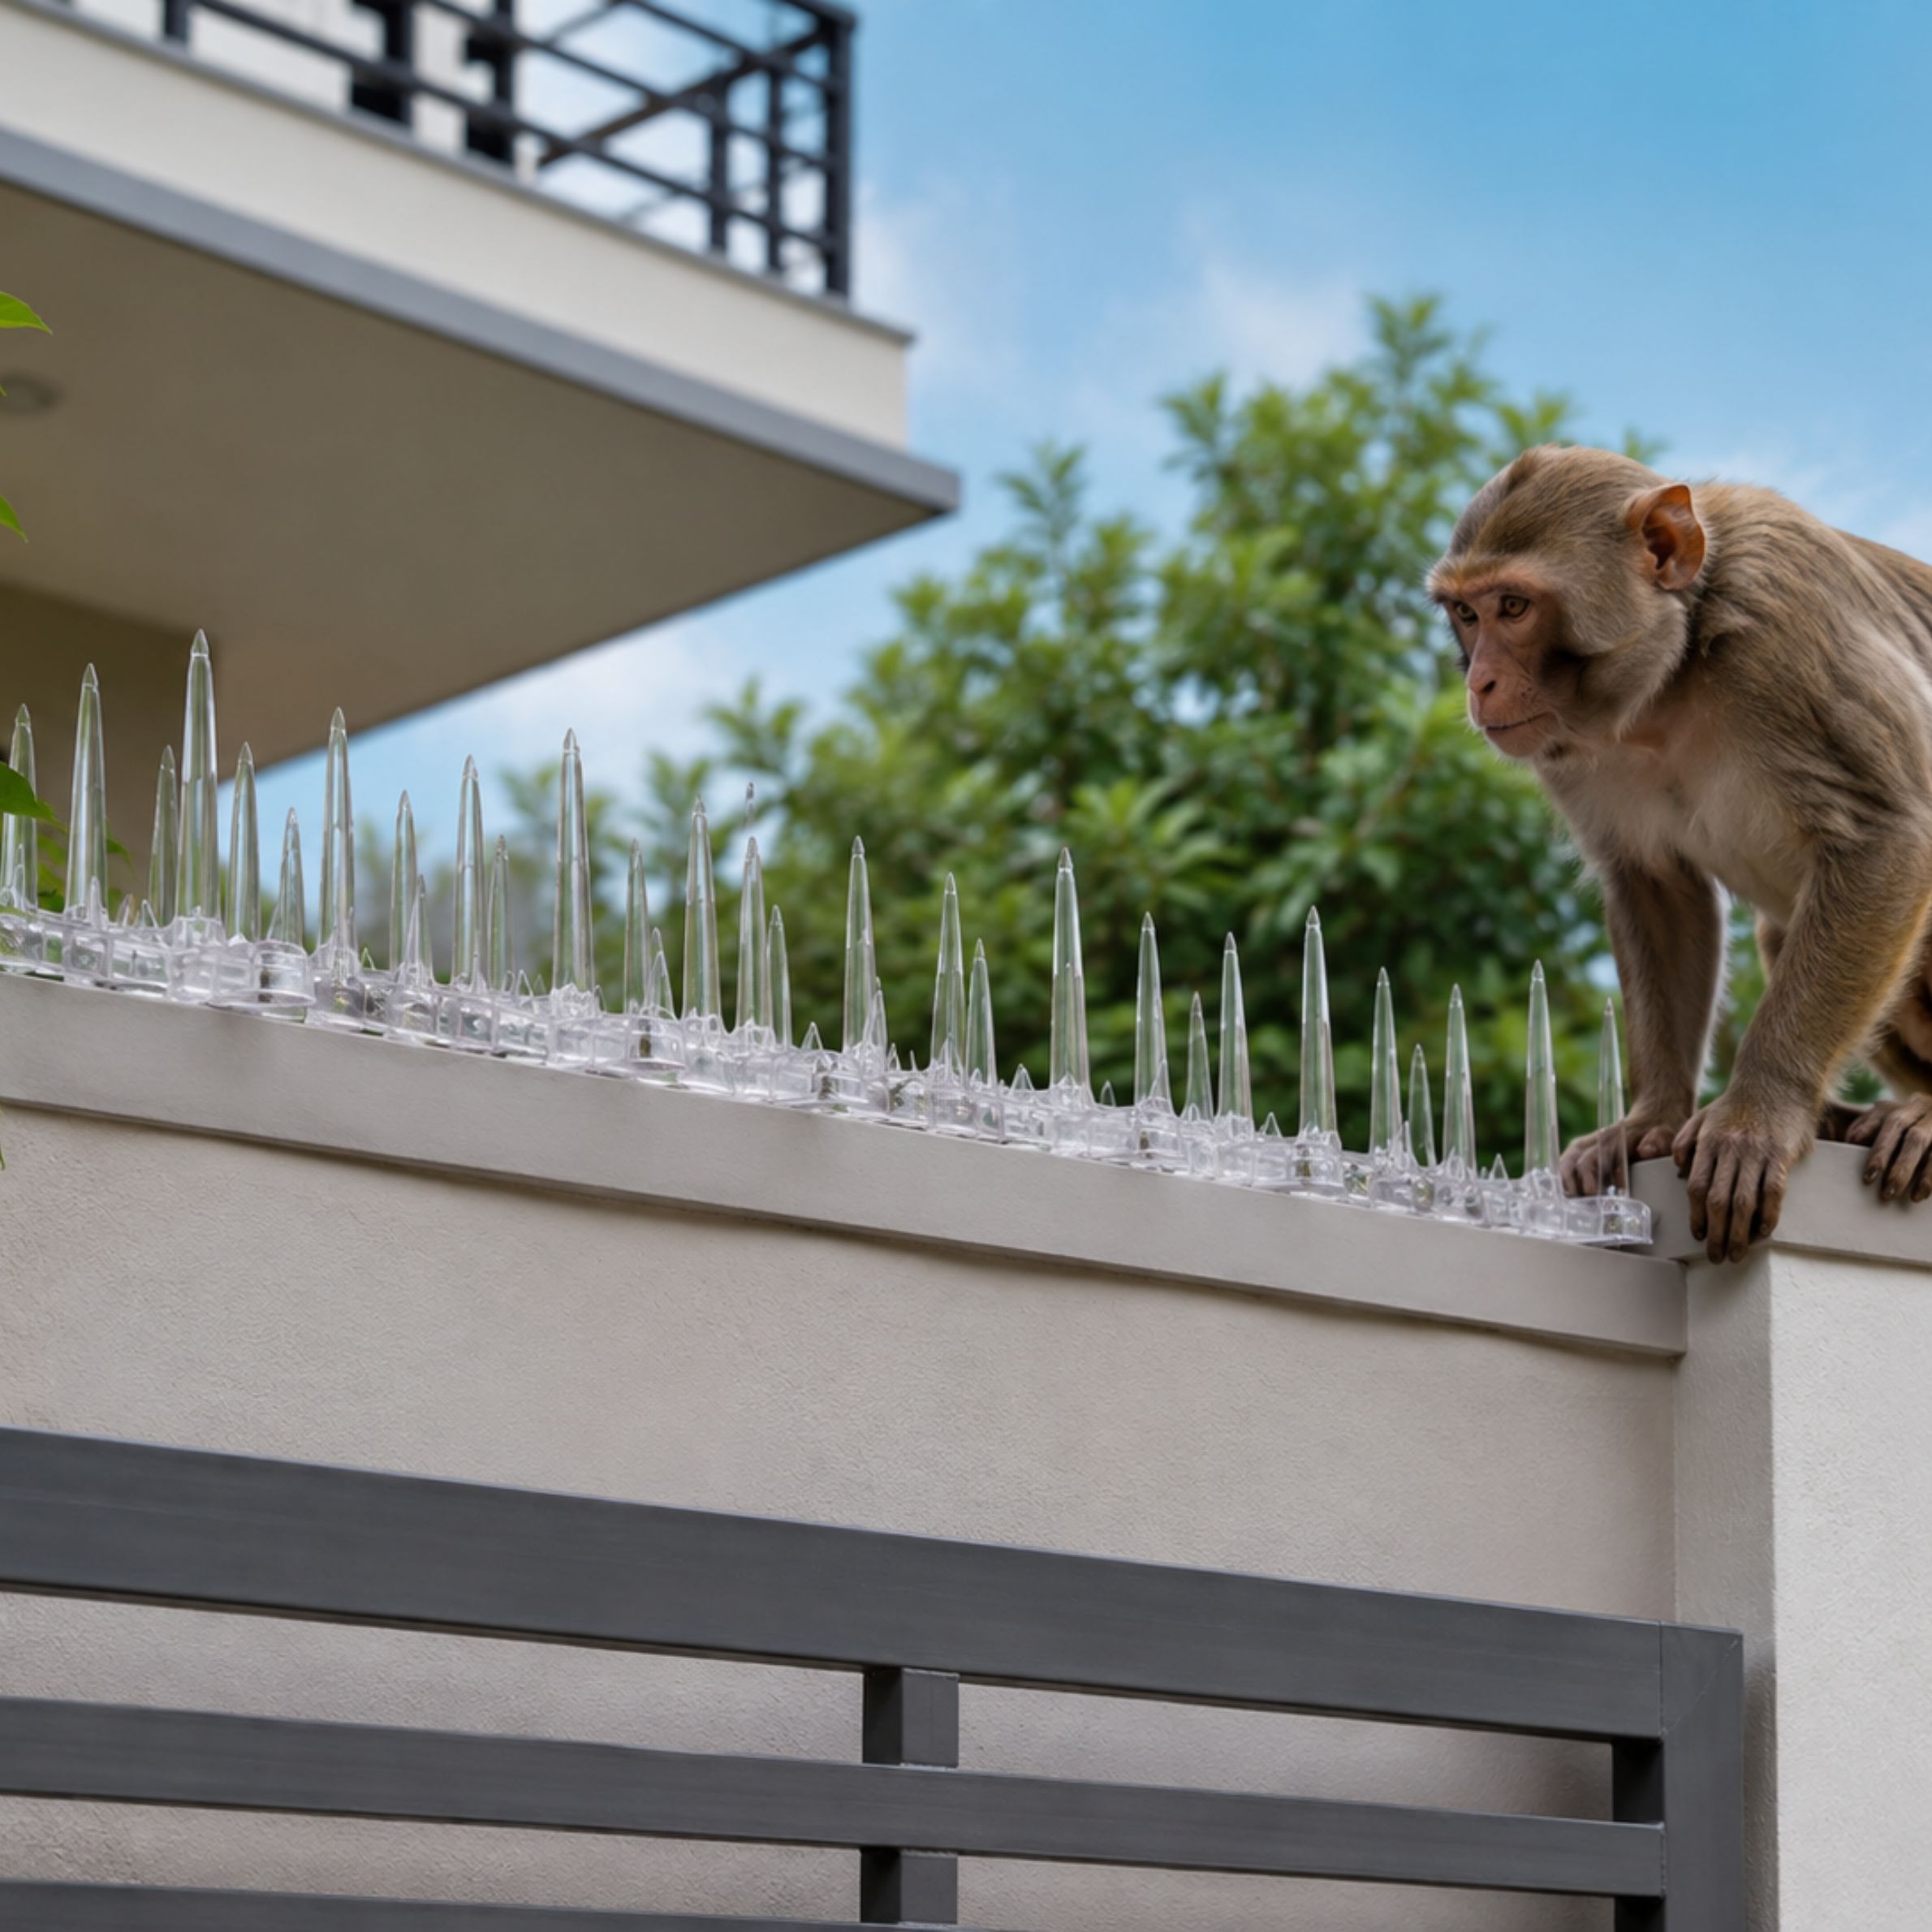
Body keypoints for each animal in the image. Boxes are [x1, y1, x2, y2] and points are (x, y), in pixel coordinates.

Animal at [1429, 445, 1932, 1263]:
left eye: (1514, 607)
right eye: (1466, 614)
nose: (1480, 681)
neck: (1675, 672)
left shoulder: (1785, 621)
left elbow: (1888, 835)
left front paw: (1758, 1114)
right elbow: (1659, 888)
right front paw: (1651, 1119)